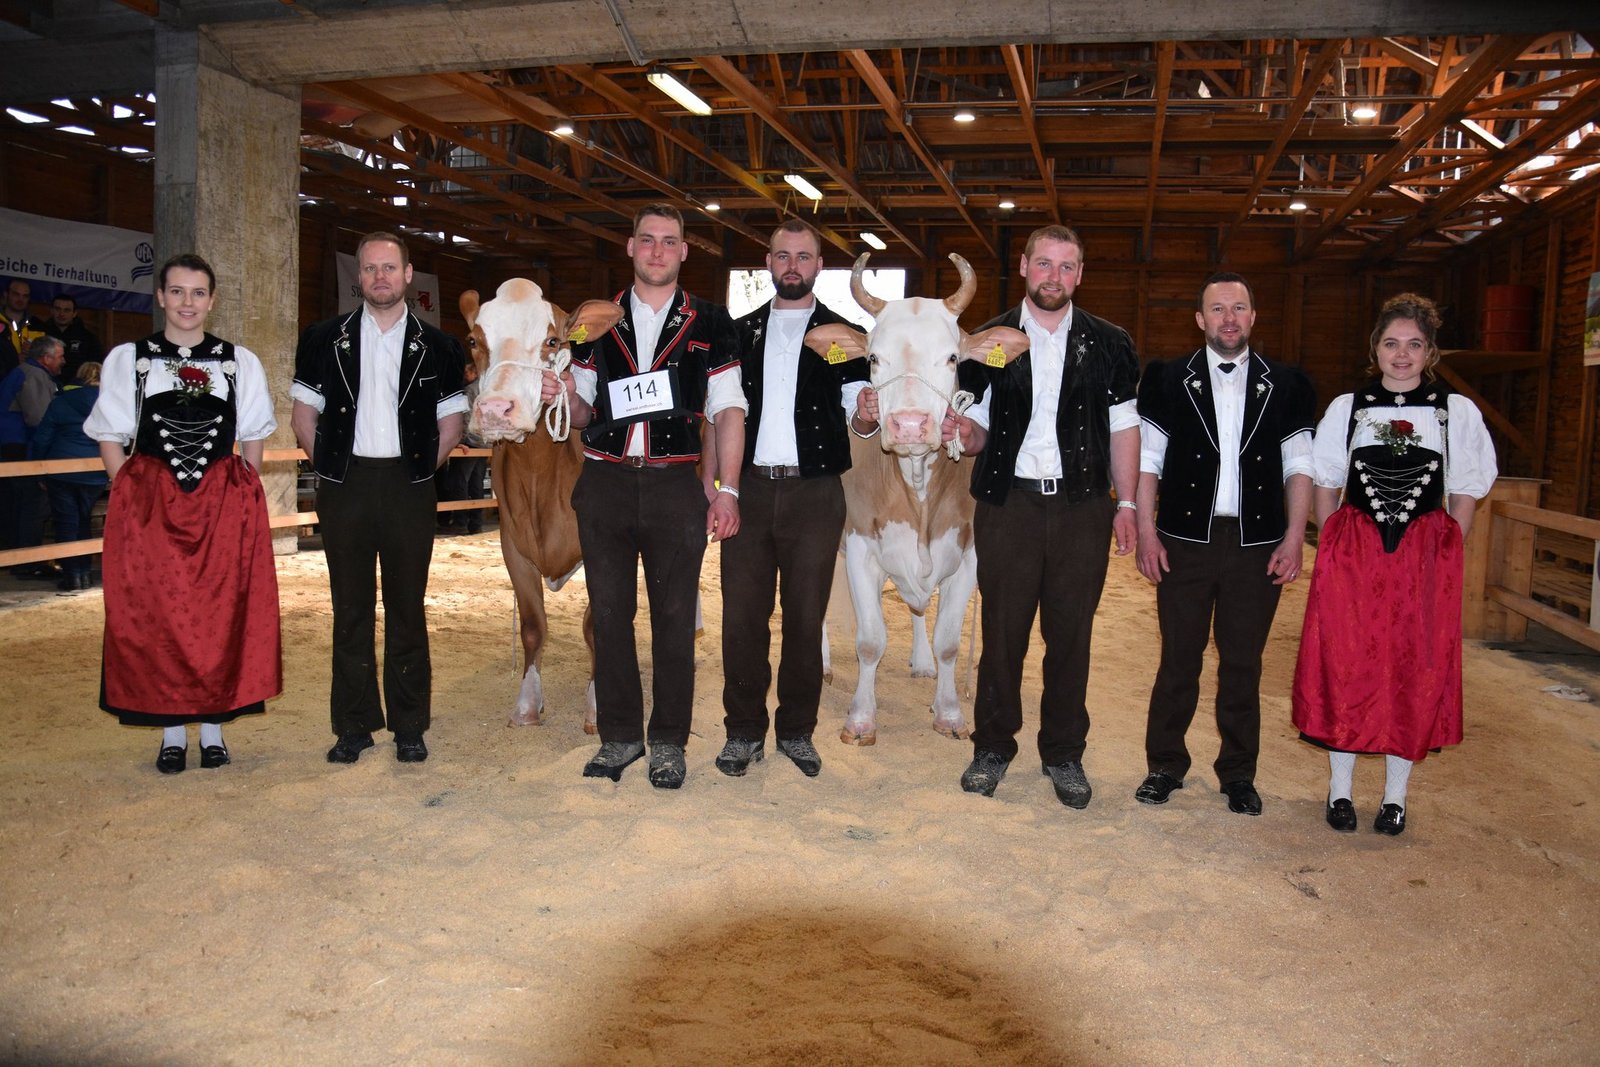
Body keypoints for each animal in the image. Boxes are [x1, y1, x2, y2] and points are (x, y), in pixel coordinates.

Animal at [461, 278, 623, 730]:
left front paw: (598, 706)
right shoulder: (512, 546)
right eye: (473, 340)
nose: (495, 409)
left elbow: (596, 625)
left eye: (553, 341)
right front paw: (527, 704)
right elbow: (533, 626)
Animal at [804, 254, 1028, 745]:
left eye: (952, 356)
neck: (919, 487)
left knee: (917, 606)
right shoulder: (861, 547)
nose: (909, 425)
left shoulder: (968, 554)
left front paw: (949, 712)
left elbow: (948, 642)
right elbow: (870, 640)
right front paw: (860, 719)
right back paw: (822, 662)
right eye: (872, 357)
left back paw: (921, 662)